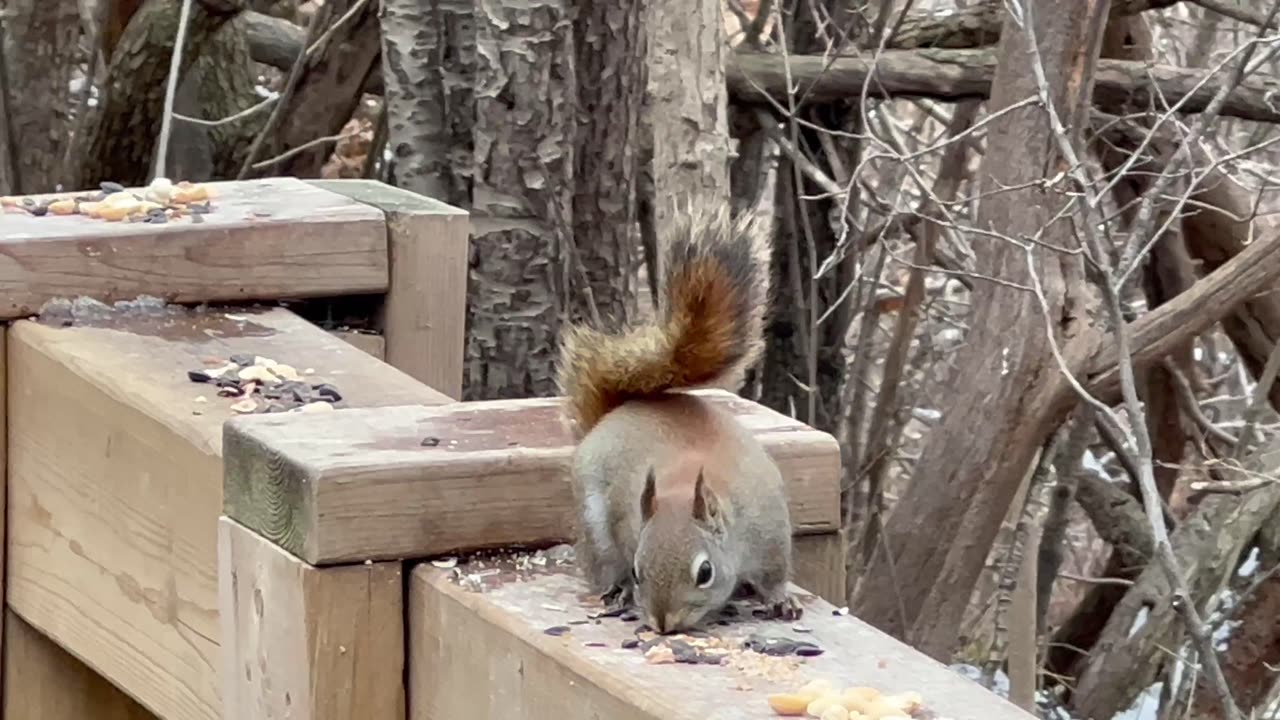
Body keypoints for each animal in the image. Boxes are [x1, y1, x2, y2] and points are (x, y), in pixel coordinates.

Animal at [552, 203, 798, 632]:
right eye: (639, 571)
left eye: (705, 572)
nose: (663, 623)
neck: (684, 486)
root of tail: (615, 413)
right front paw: (626, 588)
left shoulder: (769, 531)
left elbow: (774, 573)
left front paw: (780, 599)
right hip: (593, 524)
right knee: (601, 563)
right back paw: (614, 589)